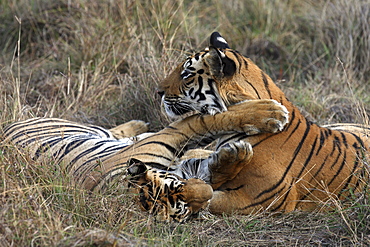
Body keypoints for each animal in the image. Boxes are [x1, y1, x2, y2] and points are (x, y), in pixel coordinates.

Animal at [2, 100, 290, 222]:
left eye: (176, 189)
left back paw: (139, 123)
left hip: (87, 130)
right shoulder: (179, 159)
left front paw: (266, 113)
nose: (207, 196)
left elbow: (201, 121)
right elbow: (201, 131)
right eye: (183, 208)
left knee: (121, 133)